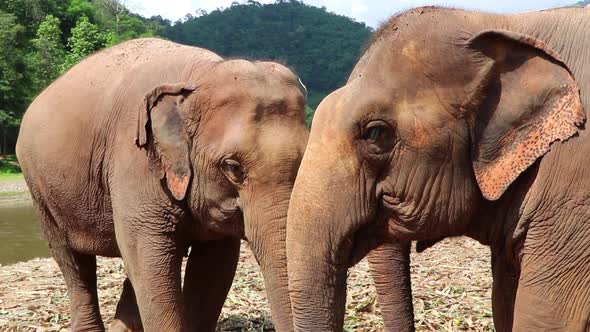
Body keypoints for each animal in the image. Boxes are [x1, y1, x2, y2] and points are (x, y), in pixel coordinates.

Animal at [15, 37, 308, 330]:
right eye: (232, 167)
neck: (198, 75)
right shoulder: (136, 159)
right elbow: (150, 257)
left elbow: (214, 266)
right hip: (40, 187)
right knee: (73, 260)